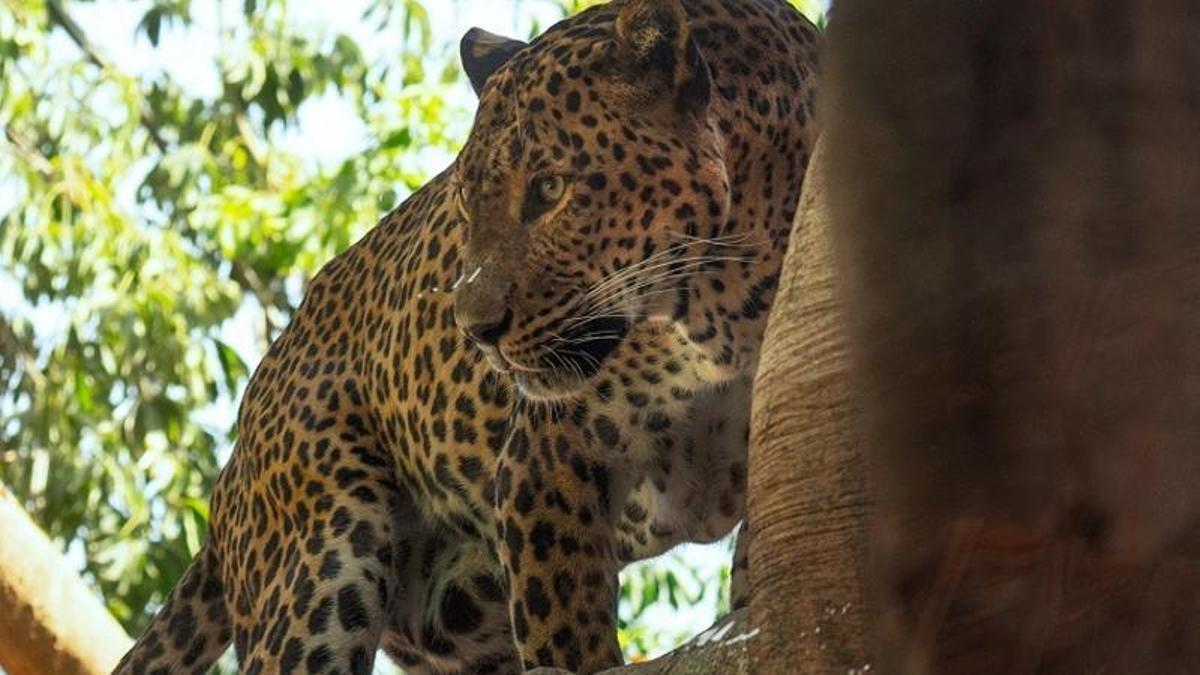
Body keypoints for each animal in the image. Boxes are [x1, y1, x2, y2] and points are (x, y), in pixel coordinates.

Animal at [112, 2, 820, 667]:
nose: (477, 331)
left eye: (550, 189)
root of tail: (230, 475)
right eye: (463, 207)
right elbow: (568, 646)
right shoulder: (540, 469)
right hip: (320, 554)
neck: (725, 311)